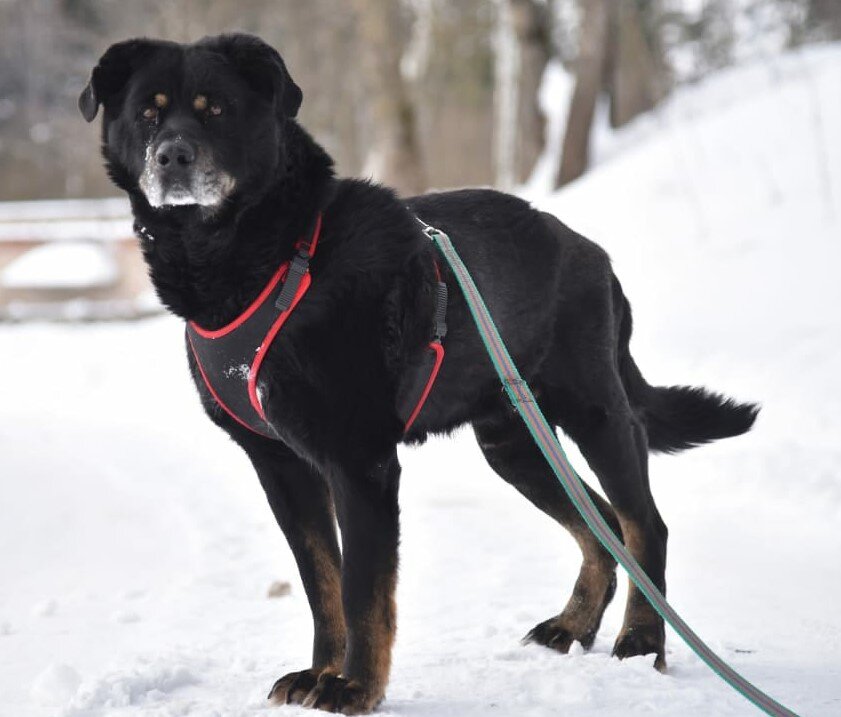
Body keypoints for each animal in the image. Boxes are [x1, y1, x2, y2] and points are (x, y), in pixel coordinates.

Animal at [82, 35, 756, 716]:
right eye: (147, 113)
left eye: (215, 109)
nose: (172, 155)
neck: (274, 257)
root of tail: (592, 254)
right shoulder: (282, 467)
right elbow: (321, 583)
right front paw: (319, 671)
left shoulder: (359, 462)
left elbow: (361, 590)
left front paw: (354, 687)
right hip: (515, 443)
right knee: (601, 523)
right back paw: (573, 625)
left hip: (595, 412)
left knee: (643, 525)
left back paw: (641, 641)